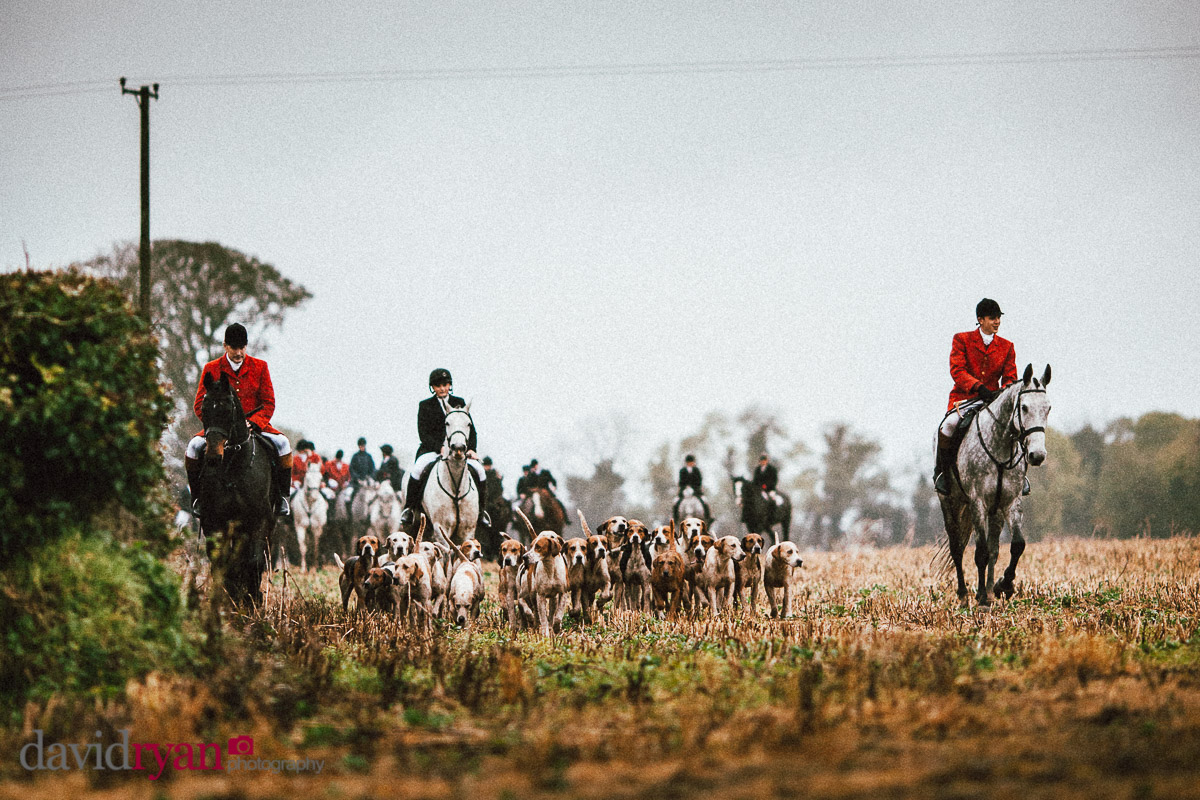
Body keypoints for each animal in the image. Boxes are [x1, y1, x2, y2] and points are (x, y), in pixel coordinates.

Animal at [201, 376, 276, 606]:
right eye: (204, 408)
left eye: (227, 408)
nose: (213, 457)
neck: (233, 466)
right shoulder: (214, 522)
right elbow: (223, 563)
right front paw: (232, 597)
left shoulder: (259, 520)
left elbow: (254, 562)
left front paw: (253, 600)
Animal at [936, 362, 1051, 606]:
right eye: (1024, 407)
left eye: (1048, 408)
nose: (1037, 455)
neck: (1000, 446)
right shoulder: (977, 501)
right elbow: (980, 552)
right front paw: (981, 599)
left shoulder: (1011, 501)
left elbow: (1016, 545)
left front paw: (1002, 586)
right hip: (949, 502)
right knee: (957, 547)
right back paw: (964, 595)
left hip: (995, 510)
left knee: (994, 549)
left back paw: (988, 591)